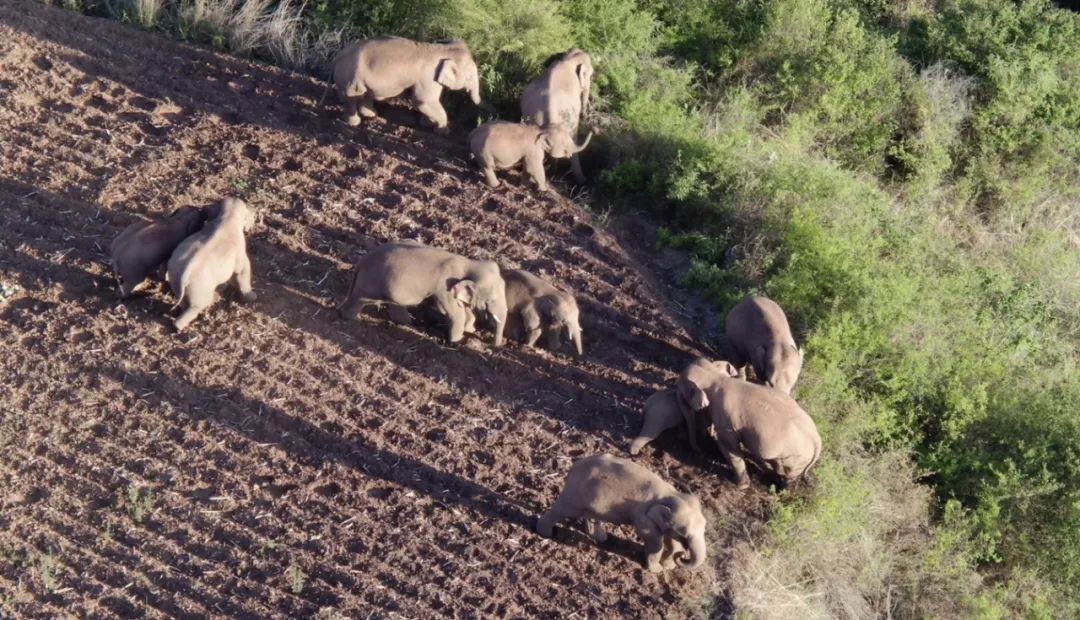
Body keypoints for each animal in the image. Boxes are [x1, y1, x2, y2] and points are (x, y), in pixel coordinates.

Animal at [169, 198, 260, 334]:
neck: (228, 217)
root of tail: (183, 277)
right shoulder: (240, 251)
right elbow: (242, 271)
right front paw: (252, 297)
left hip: (175, 278)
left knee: (183, 302)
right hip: (200, 290)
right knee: (196, 307)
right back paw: (181, 328)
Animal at [324, 36, 481, 132]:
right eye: (470, 76)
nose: (478, 102)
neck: (441, 48)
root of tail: (337, 57)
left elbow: (426, 103)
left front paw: (426, 124)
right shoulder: (428, 78)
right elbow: (423, 101)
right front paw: (443, 131)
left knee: (365, 94)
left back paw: (371, 115)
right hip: (349, 78)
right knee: (351, 98)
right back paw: (354, 123)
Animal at [533, 453, 704, 574]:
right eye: (684, 532)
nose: (682, 557)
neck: (672, 494)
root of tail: (575, 464)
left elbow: (671, 541)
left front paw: (669, 566)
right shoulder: (643, 516)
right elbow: (654, 541)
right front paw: (657, 570)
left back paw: (599, 537)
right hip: (574, 494)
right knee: (562, 510)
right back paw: (546, 533)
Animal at [678, 358, 820, 490]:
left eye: (682, 393)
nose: (700, 452)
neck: (714, 376)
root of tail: (818, 441)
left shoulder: (726, 420)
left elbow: (729, 447)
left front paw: (741, 486)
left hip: (796, 459)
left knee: (788, 473)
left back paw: (780, 488)